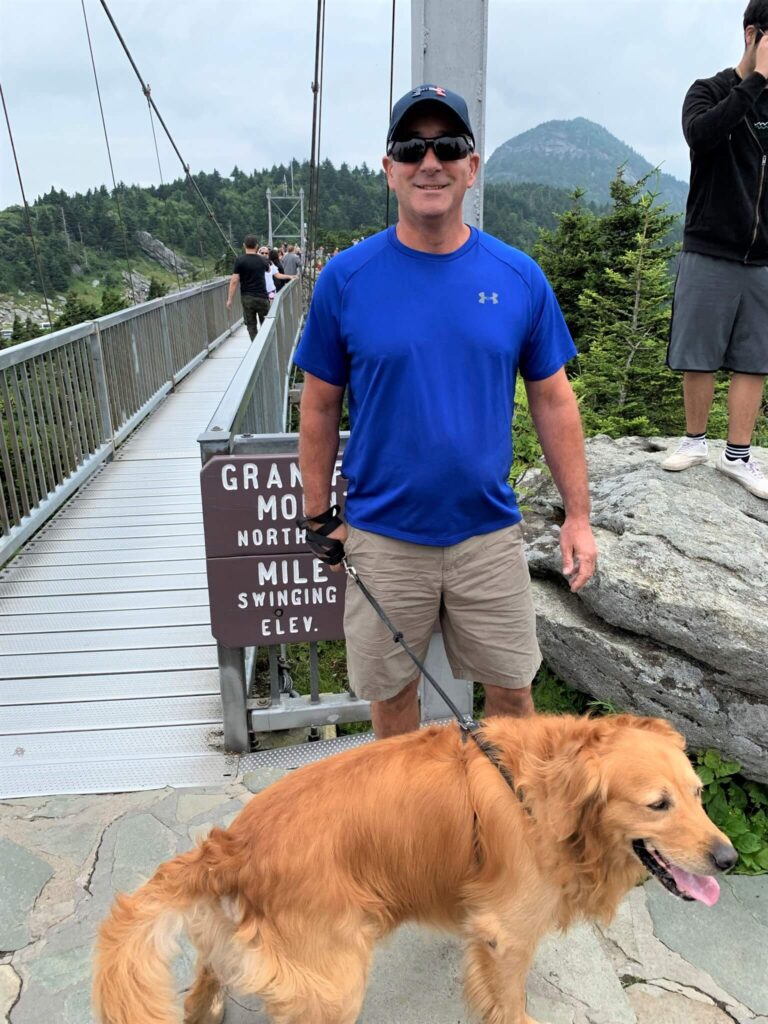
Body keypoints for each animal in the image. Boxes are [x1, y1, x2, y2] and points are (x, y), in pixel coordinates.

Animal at [93, 712, 737, 1024]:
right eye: (658, 804)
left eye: (699, 794)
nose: (728, 859)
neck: (542, 792)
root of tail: (231, 846)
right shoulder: (507, 935)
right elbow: (511, 1000)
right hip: (335, 987)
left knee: (205, 977)